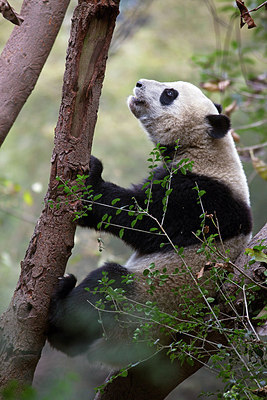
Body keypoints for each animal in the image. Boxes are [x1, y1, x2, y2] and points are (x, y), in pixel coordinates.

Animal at [47, 80, 254, 368]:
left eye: (170, 94)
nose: (139, 83)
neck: (205, 150)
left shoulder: (200, 199)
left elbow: (142, 219)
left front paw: (90, 176)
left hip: (140, 306)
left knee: (104, 288)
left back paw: (59, 308)